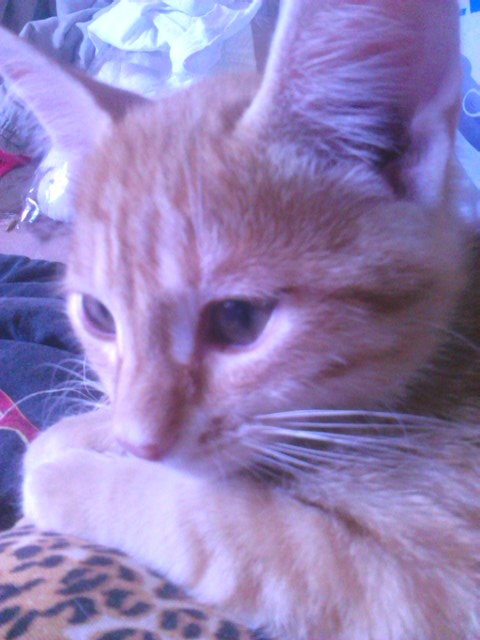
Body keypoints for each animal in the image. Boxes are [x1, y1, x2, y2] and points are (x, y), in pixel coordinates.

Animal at [1, 0, 479, 638]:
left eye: (238, 320)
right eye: (99, 314)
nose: (142, 443)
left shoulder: (422, 586)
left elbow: (206, 517)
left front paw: (65, 476)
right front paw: (78, 433)